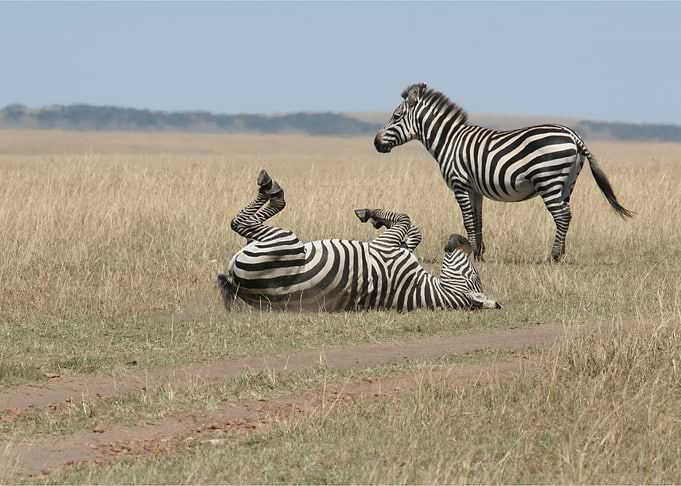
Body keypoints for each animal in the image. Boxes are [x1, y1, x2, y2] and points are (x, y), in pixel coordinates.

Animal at [218, 169, 500, 312]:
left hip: (285, 242)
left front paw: (371, 214)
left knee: (241, 223)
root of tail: (242, 287)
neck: (422, 289)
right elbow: (413, 231)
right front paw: (377, 218)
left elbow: (405, 219)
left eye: (472, 274)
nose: (459, 238)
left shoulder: (387, 247)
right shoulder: (399, 248)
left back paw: (271, 188)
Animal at [374, 83, 633, 261]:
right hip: (567, 183)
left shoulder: (460, 184)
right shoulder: (475, 189)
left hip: (548, 180)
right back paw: (562, 252)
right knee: (567, 215)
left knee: (562, 215)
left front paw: (471, 254)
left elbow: (468, 220)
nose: (376, 143)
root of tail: (573, 136)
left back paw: (554, 256)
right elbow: (477, 220)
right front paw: (479, 252)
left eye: (396, 116)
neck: (449, 141)